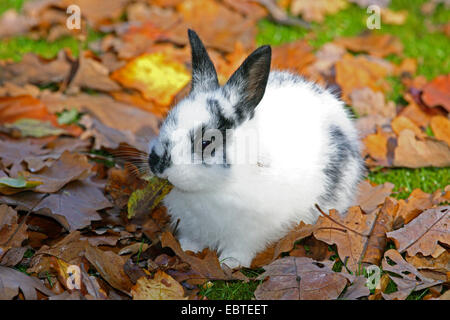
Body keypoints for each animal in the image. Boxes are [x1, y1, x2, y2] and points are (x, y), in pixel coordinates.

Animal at [148, 30, 366, 268]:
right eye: (166, 121)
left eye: (207, 142)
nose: (157, 165)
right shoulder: (191, 227)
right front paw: (187, 251)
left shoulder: (248, 234)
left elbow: (239, 249)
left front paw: (229, 264)